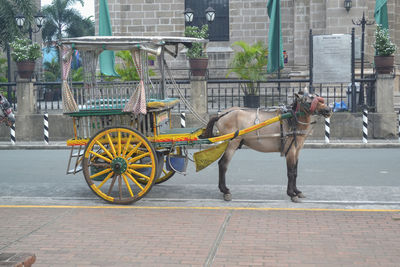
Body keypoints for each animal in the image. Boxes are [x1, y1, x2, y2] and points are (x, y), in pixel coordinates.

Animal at [203, 90, 332, 203]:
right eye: (309, 102)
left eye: (319, 98)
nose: (328, 110)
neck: (291, 119)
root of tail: (221, 115)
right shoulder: (290, 151)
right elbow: (290, 172)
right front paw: (291, 194)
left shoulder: (297, 150)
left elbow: (295, 172)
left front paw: (297, 191)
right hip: (232, 144)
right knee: (223, 165)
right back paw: (225, 191)